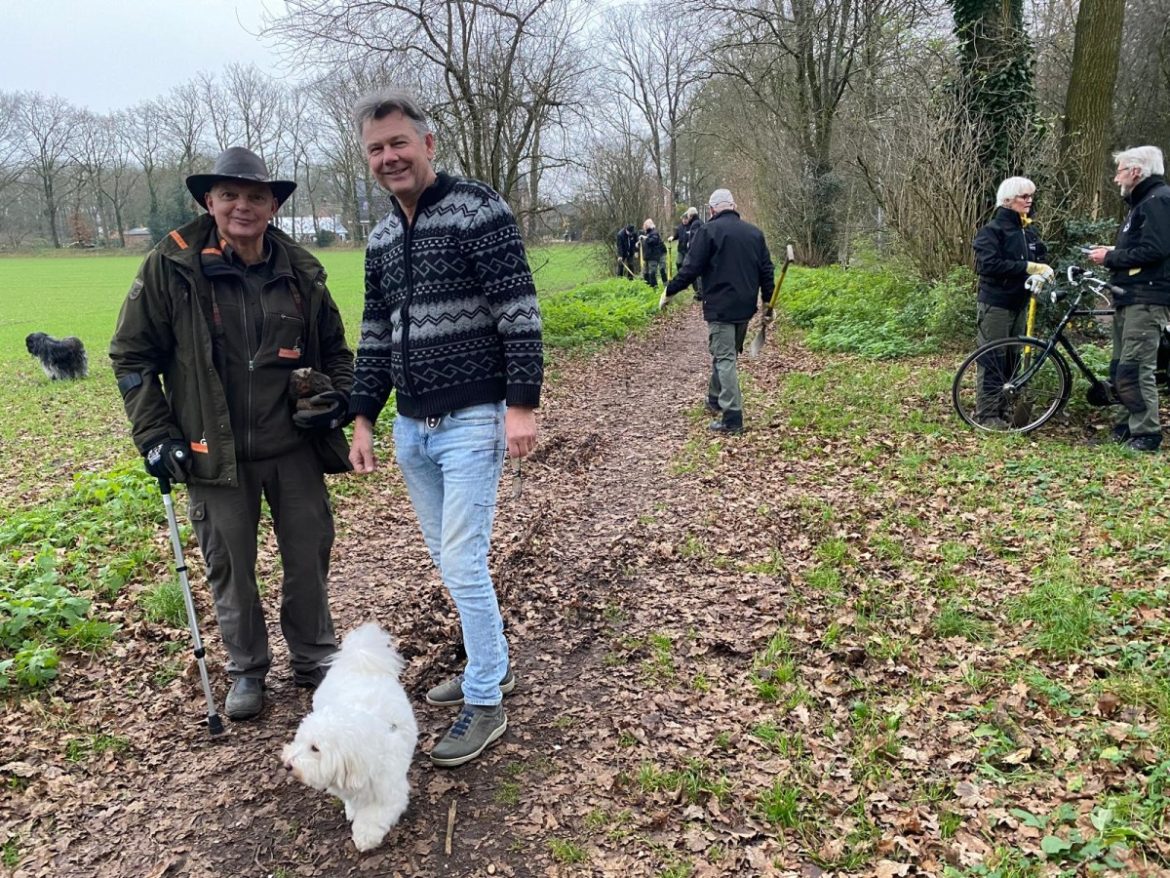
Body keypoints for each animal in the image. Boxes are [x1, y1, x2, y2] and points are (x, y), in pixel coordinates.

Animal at [279, 627, 416, 852]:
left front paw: (365, 836)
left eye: (315, 748)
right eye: (300, 741)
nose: (287, 764)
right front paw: (352, 810)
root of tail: (358, 657)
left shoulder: (390, 793)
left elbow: (373, 816)